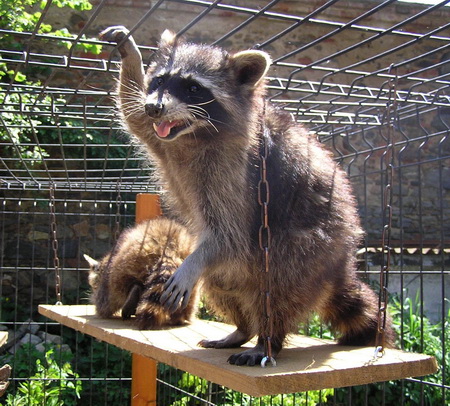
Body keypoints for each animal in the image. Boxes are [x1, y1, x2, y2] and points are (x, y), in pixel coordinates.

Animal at [99, 25, 395, 365]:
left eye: (193, 88)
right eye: (159, 80)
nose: (155, 107)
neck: (194, 133)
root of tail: (340, 265)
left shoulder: (239, 170)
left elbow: (230, 233)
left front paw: (191, 264)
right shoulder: (163, 138)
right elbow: (133, 112)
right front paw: (130, 54)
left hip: (312, 249)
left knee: (278, 283)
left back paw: (267, 340)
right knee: (222, 281)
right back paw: (242, 329)